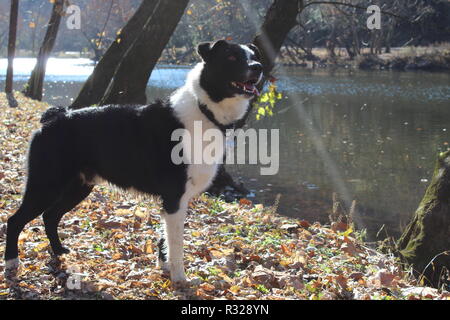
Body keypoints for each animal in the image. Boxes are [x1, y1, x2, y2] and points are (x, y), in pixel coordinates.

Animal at [3, 40, 262, 284]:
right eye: (231, 57)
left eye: (253, 55)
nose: (258, 67)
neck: (204, 109)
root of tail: (55, 116)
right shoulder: (174, 197)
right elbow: (176, 244)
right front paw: (180, 278)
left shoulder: (173, 201)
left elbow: (165, 237)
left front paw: (165, 268)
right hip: (45, 185)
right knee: (15, 220)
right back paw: (11, 262)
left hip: (78, 187)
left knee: (50, 216)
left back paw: (58, 251)